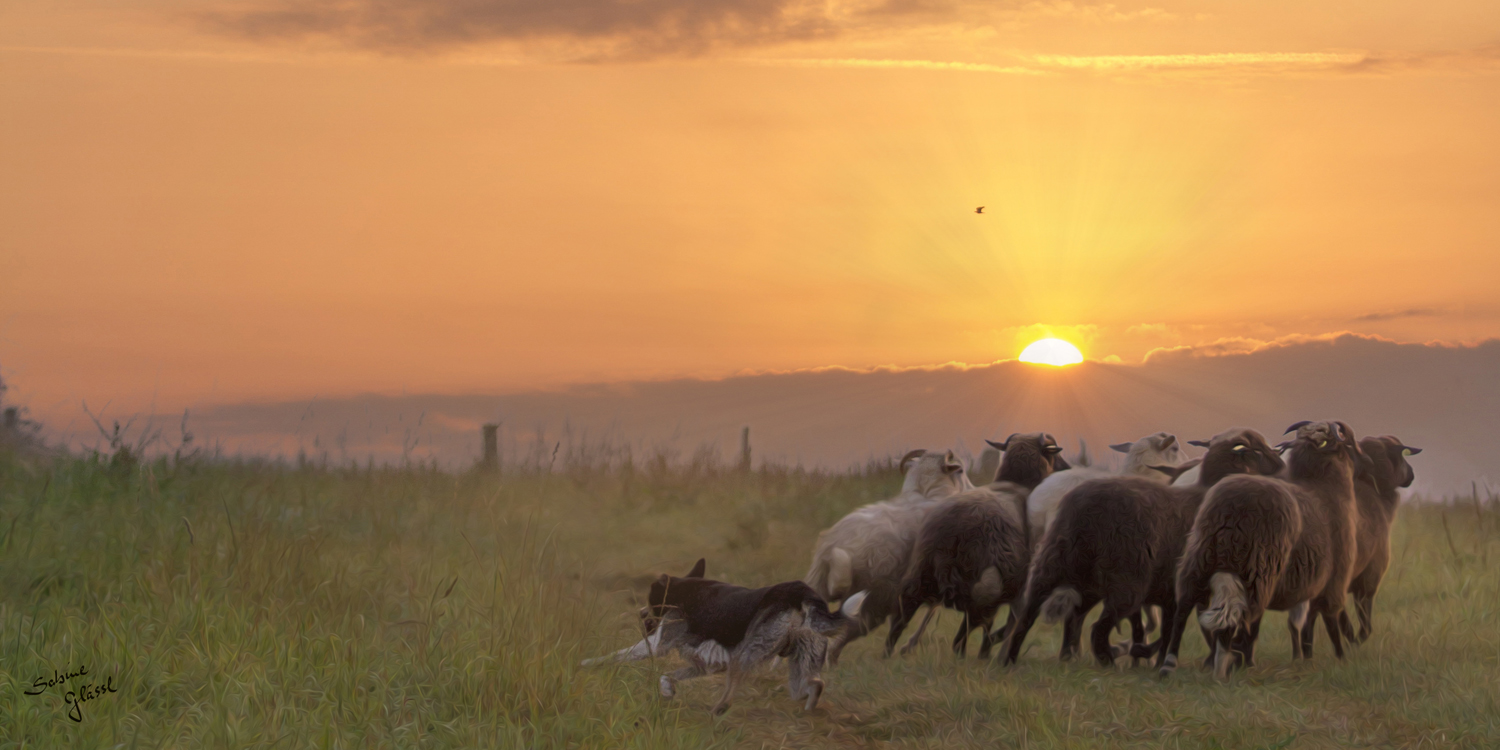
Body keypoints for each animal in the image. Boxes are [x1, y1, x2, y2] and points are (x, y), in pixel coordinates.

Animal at [582, 558, 870, 714]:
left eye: (651, 601)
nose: (641, 613)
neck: (682, 589)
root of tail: (800, 593)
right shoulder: (706, 665)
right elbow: (669, 676)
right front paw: (667, 690)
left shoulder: (656, 646)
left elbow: (616, 655)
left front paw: (585, 663)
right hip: (800, 667)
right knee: (814, 686)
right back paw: (809, 710)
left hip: (746, 653)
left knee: (731, 692)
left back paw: (716, 711)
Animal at [810, 444, 972, 663]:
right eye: (960, 470)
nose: (973, 491)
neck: (927, 493)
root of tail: (839, 546)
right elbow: (928, 610)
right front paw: (907, 647)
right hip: (875, 597)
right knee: (847, 634)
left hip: (817, 583)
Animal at [882, 435, 1074, 657]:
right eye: (1055, 453)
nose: (1068, 468)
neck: (1017, 485)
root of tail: (953, 533)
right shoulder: (1021, 590)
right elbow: (1011, 623)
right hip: (986, 591)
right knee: (963, 637)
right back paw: (975, 656)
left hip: (919, 576)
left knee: (900, 619)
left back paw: (889, 655)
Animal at [1002, 429, 1284, 669]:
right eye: (1258, 449)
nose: (1281, 465)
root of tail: (1080, 506)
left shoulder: (1171, 591)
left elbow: (1171, 626)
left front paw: (1158, 660)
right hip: (1125, 583)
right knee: (1097, 629)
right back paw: (1109, 661)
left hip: (1058, 566)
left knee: (1028, 615)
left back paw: (1011, 660)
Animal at [1158, 423, 1374, 681]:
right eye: (1350, 443)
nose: (1368, 464)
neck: (1323, 486)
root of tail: (1229, 507)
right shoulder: (1335, 580)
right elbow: (1329, 619)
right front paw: (1340, 658)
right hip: (1259, 570)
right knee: (1238, 617)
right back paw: (1223, 668)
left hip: (1200, 557)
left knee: (1186, 606)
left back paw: (1171, 664)